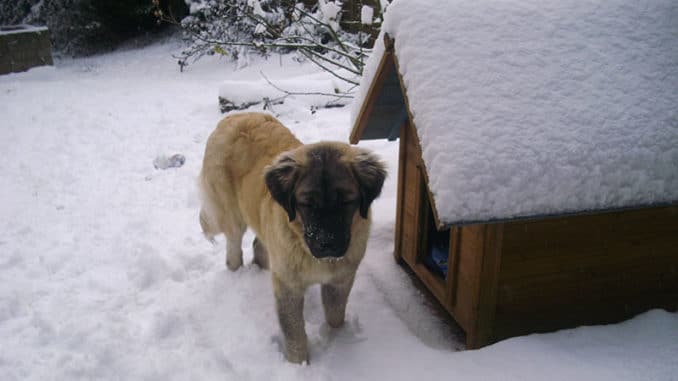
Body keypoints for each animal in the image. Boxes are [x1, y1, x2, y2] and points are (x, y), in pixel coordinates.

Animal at [199, 112, 386, 362]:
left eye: (346, 202)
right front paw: (299, 363)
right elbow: (294, 332)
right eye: (307, 204)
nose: (327, 243)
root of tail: (234, 116)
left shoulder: (340, 280)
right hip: (231, 214)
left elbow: (335, 315)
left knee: (258, 243)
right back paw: (236, 273)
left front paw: (338, 339)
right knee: (234, 248)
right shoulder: (288, 286)